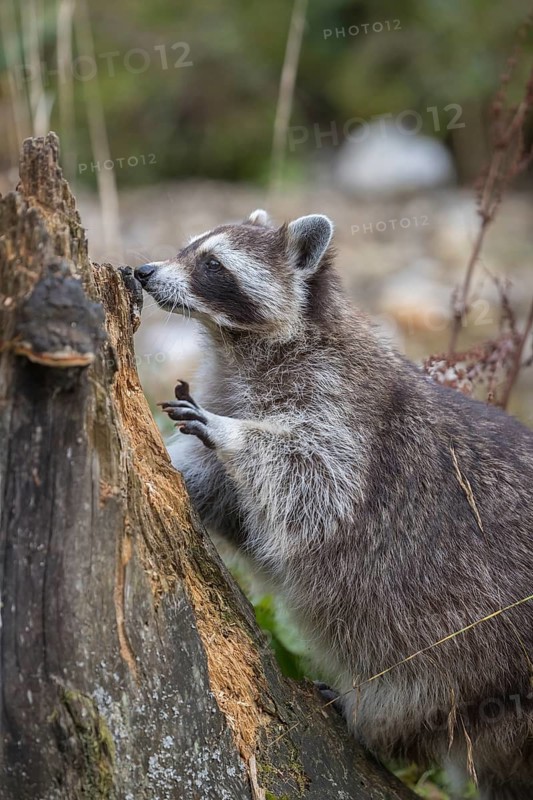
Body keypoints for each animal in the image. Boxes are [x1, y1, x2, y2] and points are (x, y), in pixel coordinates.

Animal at [135, 210, 533, 800]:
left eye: (212, 265)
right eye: (187, 247)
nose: (141, 271)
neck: (237, 347)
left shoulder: (343, 409)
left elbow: (314, 484)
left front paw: (234, 434)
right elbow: (235, 504)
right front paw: (182, 469)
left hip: (479, 641)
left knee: (422, 689)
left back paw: (372, 720)